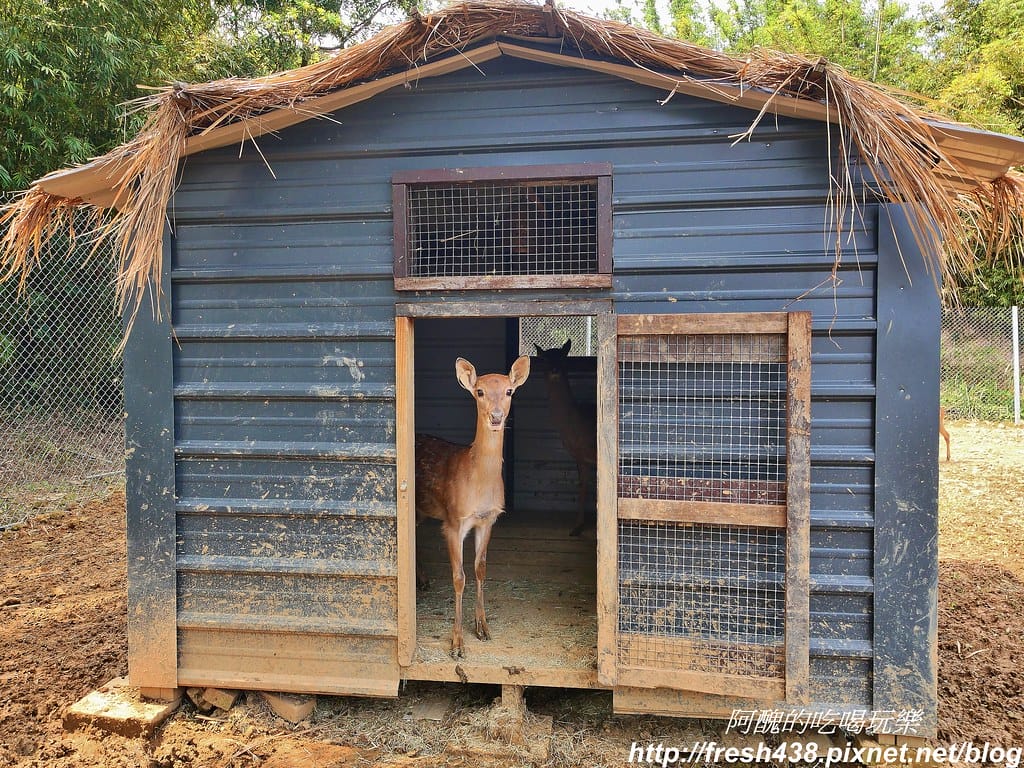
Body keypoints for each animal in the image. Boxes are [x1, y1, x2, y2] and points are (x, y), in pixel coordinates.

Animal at [415, 355, 531, 658]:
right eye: (479, 392)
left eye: (509, 391)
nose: (496, 417)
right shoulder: (454, 521)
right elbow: (459, 577)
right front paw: (457, 643)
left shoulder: (488, 520)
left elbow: (480, 569)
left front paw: (482, 627)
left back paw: (422, 579)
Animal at [534, 339, 597, 537]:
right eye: (544, 358)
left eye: (563, 355)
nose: (554, 369)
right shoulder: (580, 456)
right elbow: (582, 486)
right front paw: (577, 527)